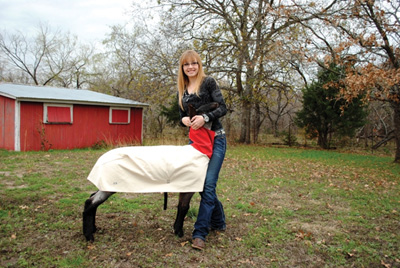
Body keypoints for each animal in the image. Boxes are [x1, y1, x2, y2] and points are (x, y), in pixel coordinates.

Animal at [82, 102, 219, 241]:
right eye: (203, 108)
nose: (217, 103)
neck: (199, 148)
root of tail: (100, 160)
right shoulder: (189, 184)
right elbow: (184, 207)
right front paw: (179, 232)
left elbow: (181, 206)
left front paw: (176, 230)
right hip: (111, 182)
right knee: (91, 202)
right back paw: (89, 236)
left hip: (106, 183)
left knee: (92, 198)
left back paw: (93, 229)